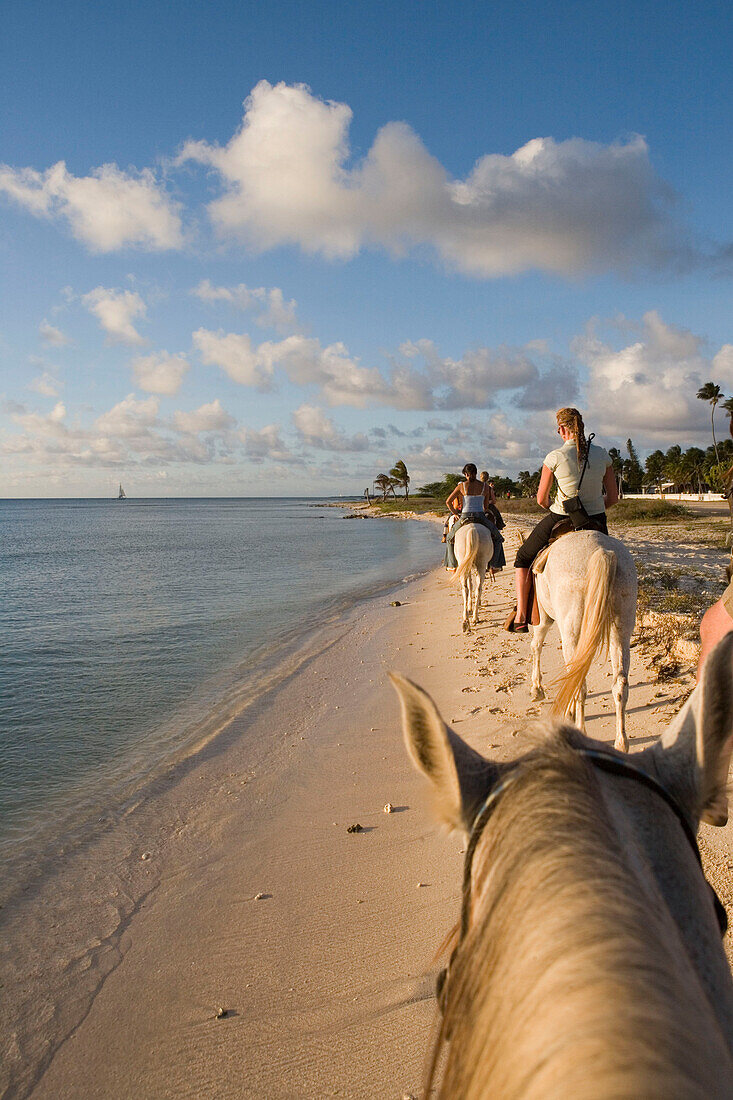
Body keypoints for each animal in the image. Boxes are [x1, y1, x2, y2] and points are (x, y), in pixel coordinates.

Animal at [528, 528, 638, 752]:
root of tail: (602, 551)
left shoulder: (544, 619)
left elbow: (536, 647)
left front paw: (537, 689)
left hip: (570, 630)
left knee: (577, 678)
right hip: (621, 630)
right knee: (620, 684)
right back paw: (621, 743)